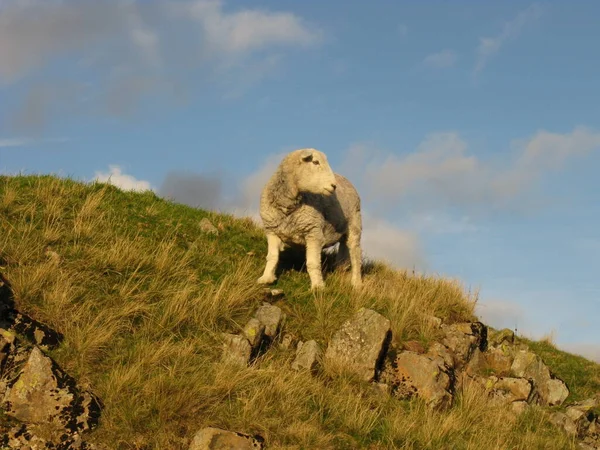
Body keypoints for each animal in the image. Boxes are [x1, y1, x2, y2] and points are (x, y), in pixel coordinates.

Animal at [256, 148, 364, 288]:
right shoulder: (272, 231)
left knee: (355, 254)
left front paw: (318, 286)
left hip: (355, 225)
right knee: (344, 252)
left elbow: (313, 263)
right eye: (315, 162)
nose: (333, 185)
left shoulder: (314, 233)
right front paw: (266, 278)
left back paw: (356, 283)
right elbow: (272, 256)